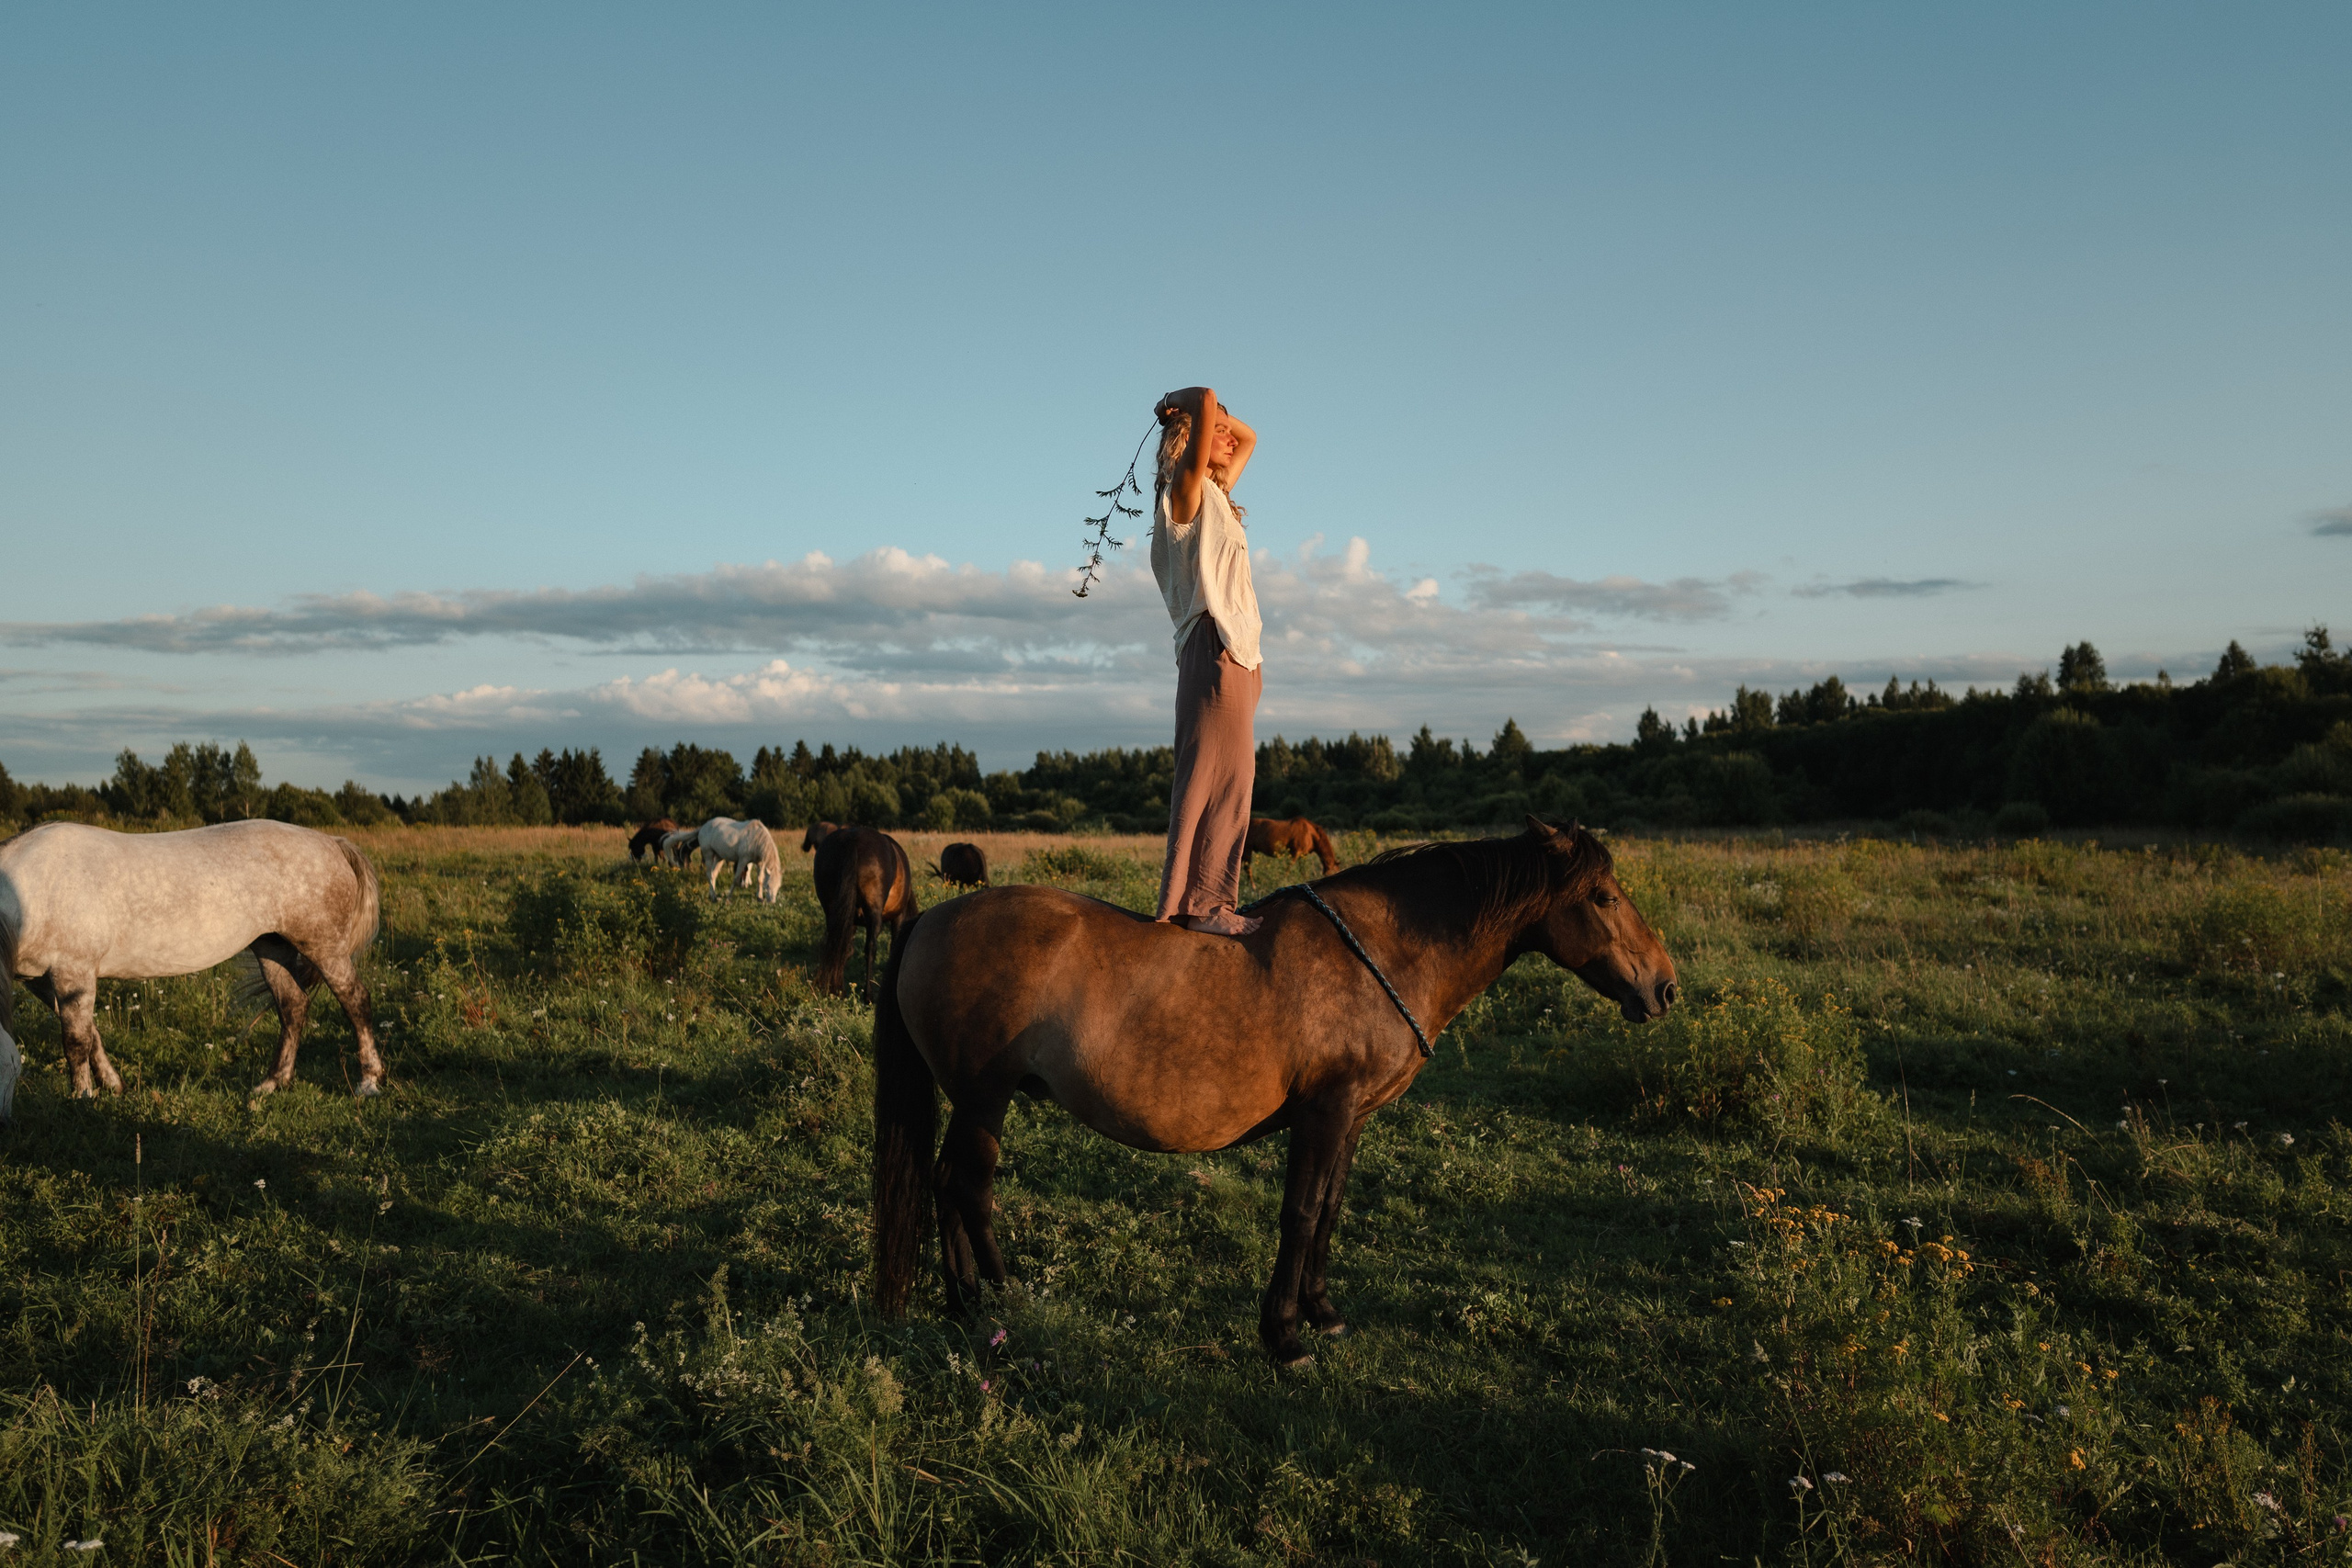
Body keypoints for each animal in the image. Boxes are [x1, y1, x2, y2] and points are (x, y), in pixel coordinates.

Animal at [0, 820, 386, 1123]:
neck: (34, 888)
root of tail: (332, 842)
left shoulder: (74, 973)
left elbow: (76, 1043)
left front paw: (82, 1099)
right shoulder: (43, 981)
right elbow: (90, 1035)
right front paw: (112, 1085)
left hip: (325, 948)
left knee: (356, 1002)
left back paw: (369, 1082)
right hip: (271, 947)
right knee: (293, 1008)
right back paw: (273, 1083)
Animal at [814, 828, 919, 999]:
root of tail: (852, 839)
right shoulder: (898, 918)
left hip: (834, 912)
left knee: (837, 945)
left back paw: (835, 989)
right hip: (873, 915)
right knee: (870, 948)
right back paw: (868, 995)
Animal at [871, 819, 1676, 1365]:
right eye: (1605, 896)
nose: (1664, 987)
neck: (1379, 952)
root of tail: (929, 918)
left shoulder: (1351, 1119)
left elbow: (1331, 1209)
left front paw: (1321, 1310)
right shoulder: (1324, 1111)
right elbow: (1301, 1211)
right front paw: (1284, 1335)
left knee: (945, 1181)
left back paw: (962, 1300)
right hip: (984, 1097)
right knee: (968, 1185)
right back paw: (997, 1292)